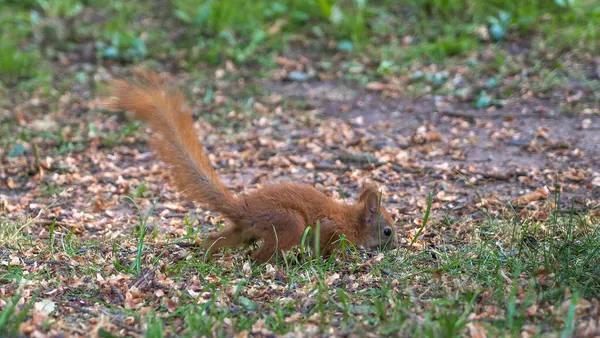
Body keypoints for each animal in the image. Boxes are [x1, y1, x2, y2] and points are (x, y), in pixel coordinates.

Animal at [108, 72, 398, 262]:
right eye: (387, 231)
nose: (394, 247)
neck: (351, 219)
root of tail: (244, 209)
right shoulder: (329, 227)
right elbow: (320, 243)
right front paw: (323, 260)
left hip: (245, 231)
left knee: (220, 239)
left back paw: (206, 254)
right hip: (289, 224)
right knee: (260, 255)